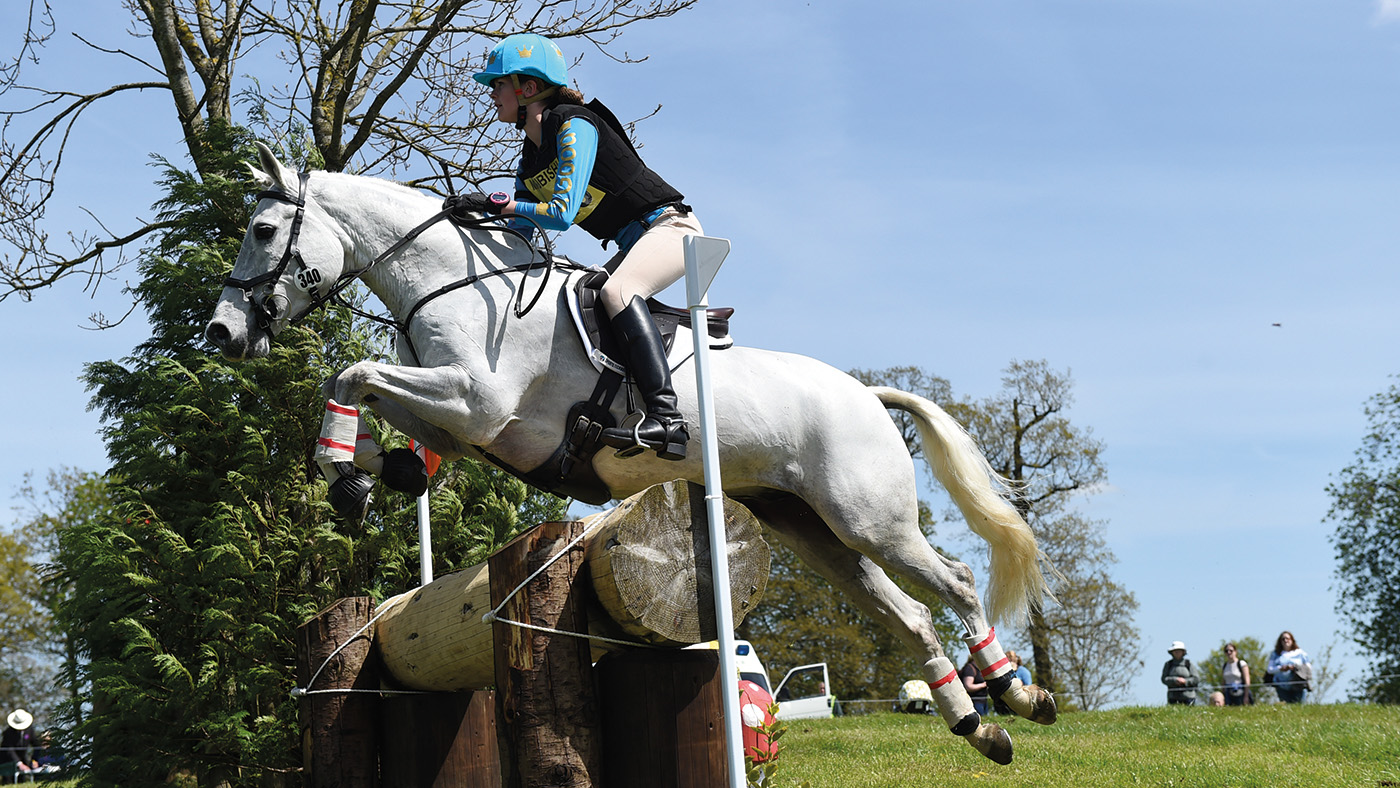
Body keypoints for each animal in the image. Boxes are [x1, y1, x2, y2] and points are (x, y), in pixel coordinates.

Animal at [205, 142, 1057, 764]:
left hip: (868, 519)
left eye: (262, 231)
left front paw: (345, 473)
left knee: (954, 581)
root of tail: (866, 396)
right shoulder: (461, 419)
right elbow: (377, 407)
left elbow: (351, 373)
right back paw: (978, 726)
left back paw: (1018, 694)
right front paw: (362, 472)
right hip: (811, 530)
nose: (221, 333)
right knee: (908, 613)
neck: (452, 282)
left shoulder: (477, 400)